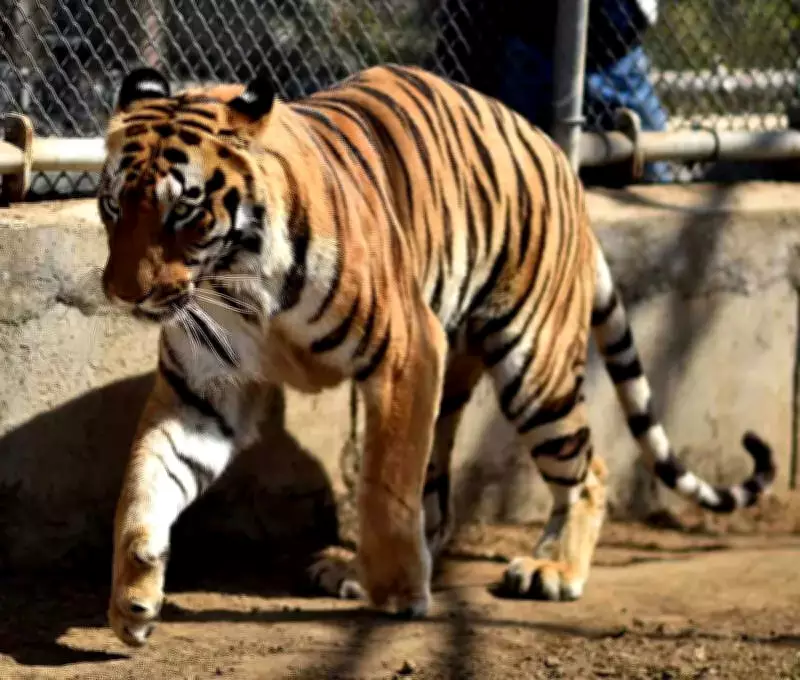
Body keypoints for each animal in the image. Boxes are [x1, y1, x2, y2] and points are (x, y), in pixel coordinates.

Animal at [97, 63, 776, 647]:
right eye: (112, 206)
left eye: (183, 210)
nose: (124, 293)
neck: (237, 277)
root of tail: (557, 154)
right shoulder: (203, 388)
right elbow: (145, 479)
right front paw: (134, 594)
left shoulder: (406, 352)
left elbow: (386, 486)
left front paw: (398, 592)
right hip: (456, 370)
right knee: (444, 490)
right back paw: (356, 567)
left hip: (534, 365)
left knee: (589, 470)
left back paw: (552, 570)